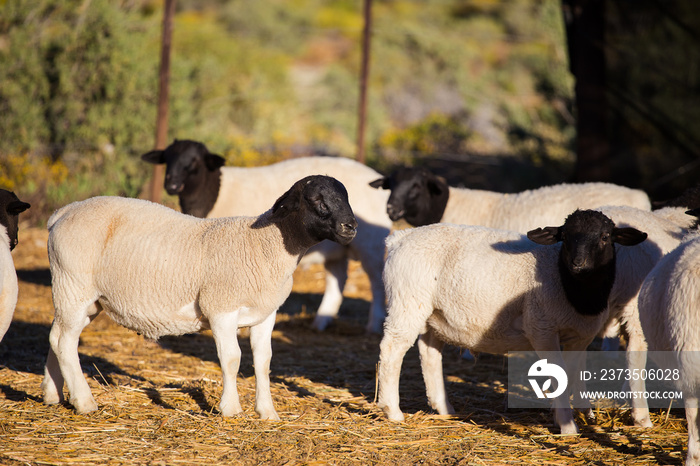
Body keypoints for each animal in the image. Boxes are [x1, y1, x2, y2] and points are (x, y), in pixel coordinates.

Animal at [43, 175, 358, 418]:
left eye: (346, 197)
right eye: (316, 200)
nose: (351, 227)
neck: (265, 245)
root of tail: (62, 213)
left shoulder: (265, 314)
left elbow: (263, 361)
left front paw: (267, 412)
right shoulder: (220, 307)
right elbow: (232, 359)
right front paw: (231, 409)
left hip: (81, 296)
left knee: (56, 337)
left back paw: (52, 394)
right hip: (74, 285)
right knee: (65, 342)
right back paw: (84, 402)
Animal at [142, 140, 392, 334]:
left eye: (194, 161)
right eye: (167, 158)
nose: (171, 185)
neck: (213, 194)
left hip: (370, 243)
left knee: (376, 282)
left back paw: (373, 325)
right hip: (337, 248)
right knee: (337, 279)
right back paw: (321, 321)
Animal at [378, 210, 644, 434]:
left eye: (605, 236)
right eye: (566, 237)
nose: (578, 263)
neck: (571, 285)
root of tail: (400, 238)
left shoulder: (581, 334)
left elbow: (575, 372)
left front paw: (578, 414)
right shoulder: (541, 328)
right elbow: (559, 373)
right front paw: (568, 427)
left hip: (434, 312)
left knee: (430, 352)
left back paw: (444, 408)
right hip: (407, 304)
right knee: (391, 351)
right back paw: (393, 411)